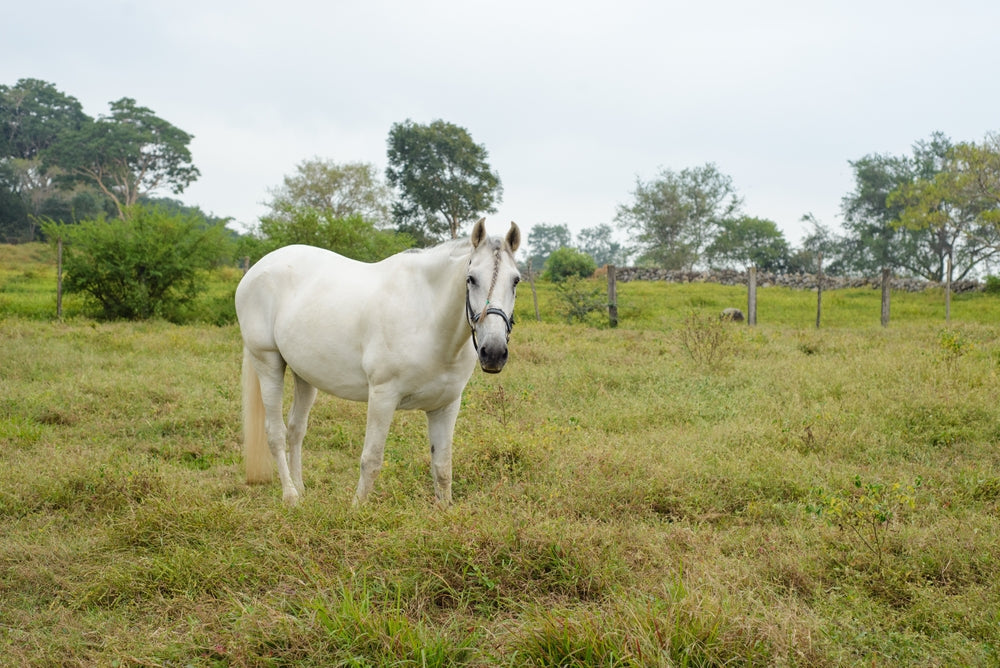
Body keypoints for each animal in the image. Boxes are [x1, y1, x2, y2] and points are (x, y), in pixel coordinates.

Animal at [235, 218, 521, 506]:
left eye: (516, 281)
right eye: (470, 279)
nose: (493, 352)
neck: (427, 318)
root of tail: (255, 270)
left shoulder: (446, 405)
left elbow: (442, 466)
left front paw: (443, 509)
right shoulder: (383, 397)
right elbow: (371, 460)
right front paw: (357, 509)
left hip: (304, 375)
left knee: (296, 431)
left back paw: (302, 490)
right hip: (268, 363)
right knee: (275, 433)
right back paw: (291, 496)